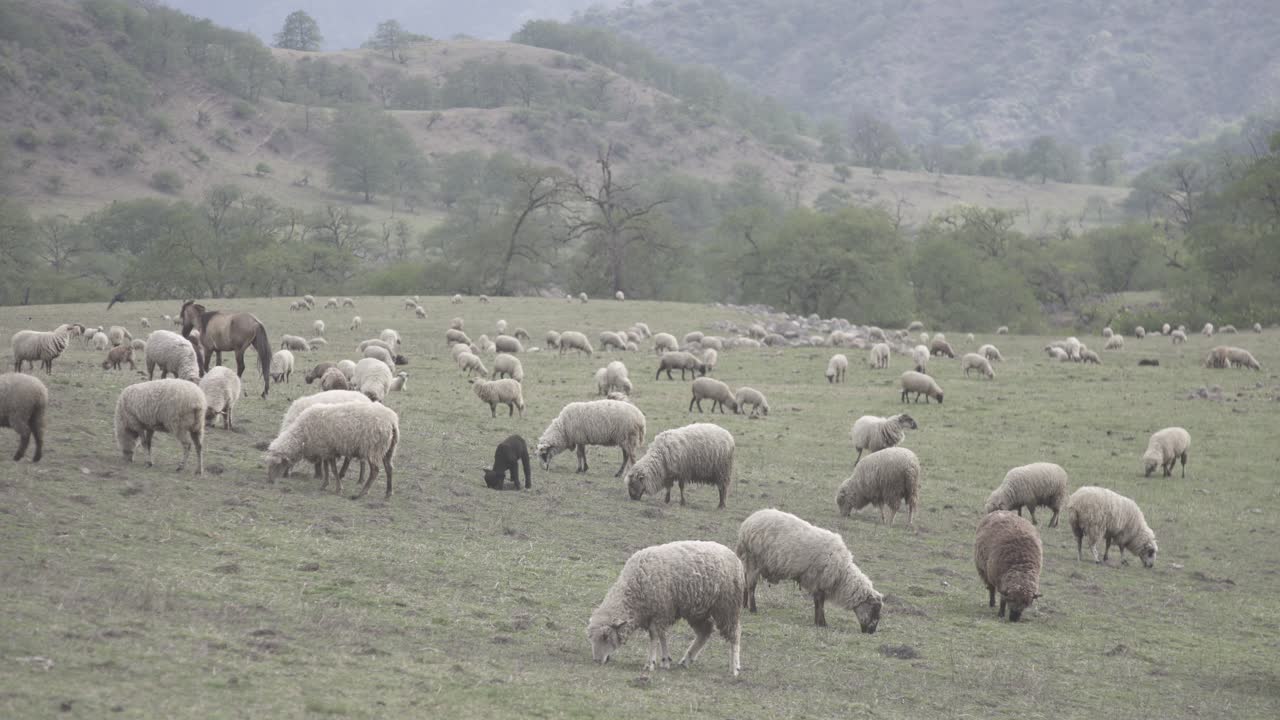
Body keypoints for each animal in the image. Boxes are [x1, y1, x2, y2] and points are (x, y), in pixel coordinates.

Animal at [265, 401, 399, 500]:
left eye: (277, 465)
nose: (270, 481)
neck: (302, 435)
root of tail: (391, 421)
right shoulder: (327, 450)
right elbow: (327, 468)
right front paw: (325, 485)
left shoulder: (327, 450)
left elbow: (333, 470)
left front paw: (337, 489)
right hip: (388, 449)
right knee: (389, 468)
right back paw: (388, 493)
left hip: (373, 448)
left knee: (375, 471)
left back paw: (361, 494)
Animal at [588, 541, 743, 676]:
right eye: (590, 637)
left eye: (605, 636)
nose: (596, 661)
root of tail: (735, 557)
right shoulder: (661, 612)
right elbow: (662, 635)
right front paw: (665, 660)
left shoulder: (661, 610)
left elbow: (655, 635)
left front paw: (650, 663)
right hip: (697, 609)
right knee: (705, 631)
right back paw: (687, 659)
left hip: (727, 606)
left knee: (734, 634)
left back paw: (734, 668)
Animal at [736, 509, 882, 630]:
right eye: (874, 609)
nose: (871, 632)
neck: (842, 575)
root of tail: (746, 524)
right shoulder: (819, 581)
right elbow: (820, 603)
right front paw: (822, 623)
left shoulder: (818, 584)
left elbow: (818, 603)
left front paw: (818, 622)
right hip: (754, 560)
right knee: (751, 586)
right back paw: (753, 609)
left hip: (747, 561)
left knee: (745, 583)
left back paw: (744, 605)